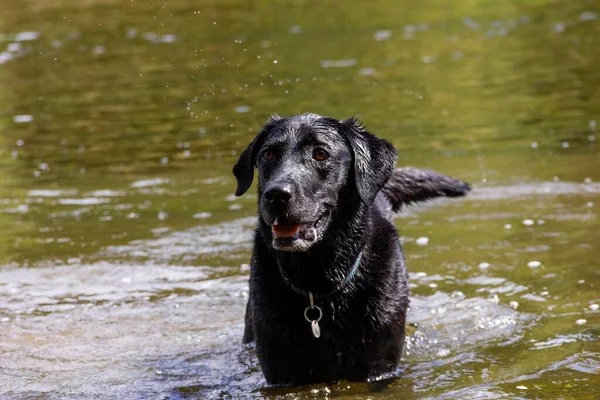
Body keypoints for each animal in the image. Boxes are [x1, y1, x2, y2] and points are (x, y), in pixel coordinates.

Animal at [232, 113, 472, 384]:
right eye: (268, 154)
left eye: (320, 154)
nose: (276, 194)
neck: (319, 282)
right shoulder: (280, 369)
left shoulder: (381, 363)